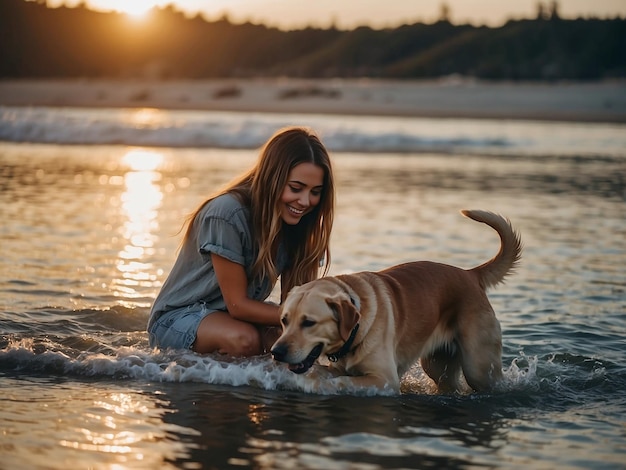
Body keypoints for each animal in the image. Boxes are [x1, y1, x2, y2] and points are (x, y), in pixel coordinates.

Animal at [270, 209, 520, 392]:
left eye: (309, 322)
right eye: (284, 320)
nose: (276, 352)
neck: (356, 330)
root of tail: (471, 274)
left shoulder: (384, 379)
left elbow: (343, 381)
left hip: (479, 367)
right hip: (437, 365)